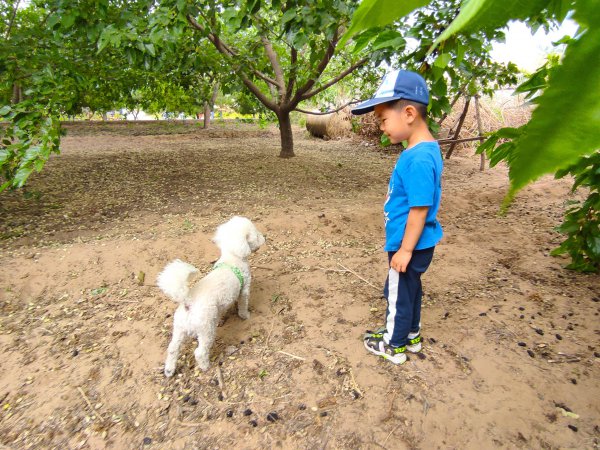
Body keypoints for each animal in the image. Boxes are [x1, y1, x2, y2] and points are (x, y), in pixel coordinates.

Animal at [157, 217, 264, 376]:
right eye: (256, 235)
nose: (264, 237)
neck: (232, 257)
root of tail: (188, 301)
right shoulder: (244, 289)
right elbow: (243, 305)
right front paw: (245, 315)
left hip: (179, 328)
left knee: (172, 348)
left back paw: (169, 370)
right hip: (206, 329)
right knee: (200, 352)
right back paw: (205, 366)